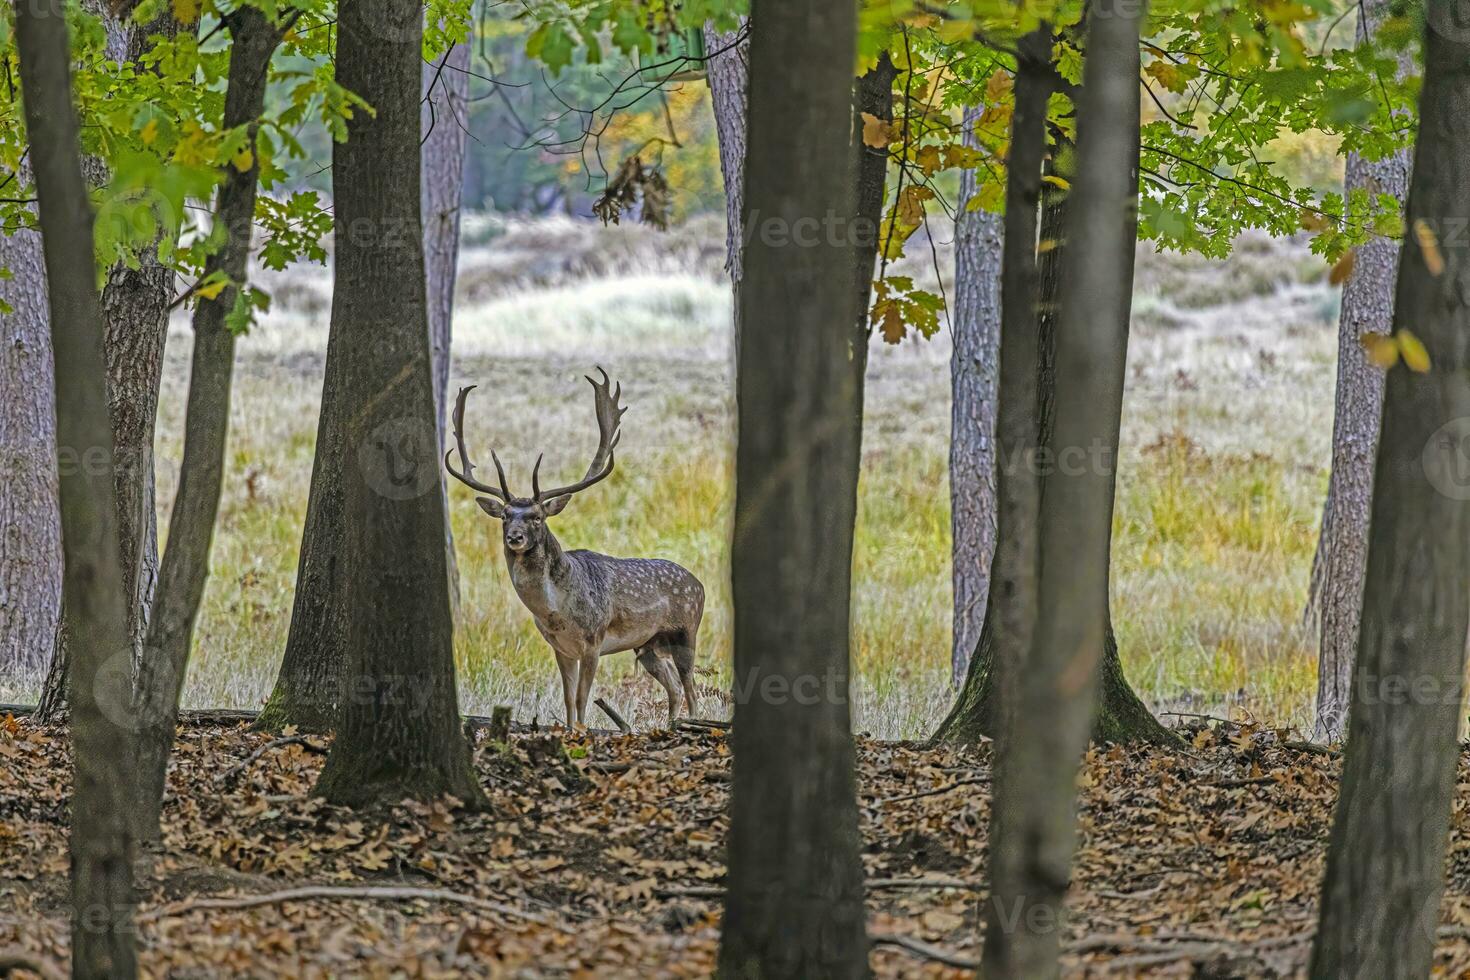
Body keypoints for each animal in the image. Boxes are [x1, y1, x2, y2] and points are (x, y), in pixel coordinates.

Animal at [443, 367, 702, 728]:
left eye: (537, 517)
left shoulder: (593, 640)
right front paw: (567, 729)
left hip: (686, 630)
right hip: (648, 645)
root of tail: (700, 584)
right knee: (675, 688)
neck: (556, 612)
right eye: (506, 515)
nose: (515, 537)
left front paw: (581, 730)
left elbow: (582, 698)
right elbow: (567, 699)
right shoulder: (559, 647)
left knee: (692, 690)